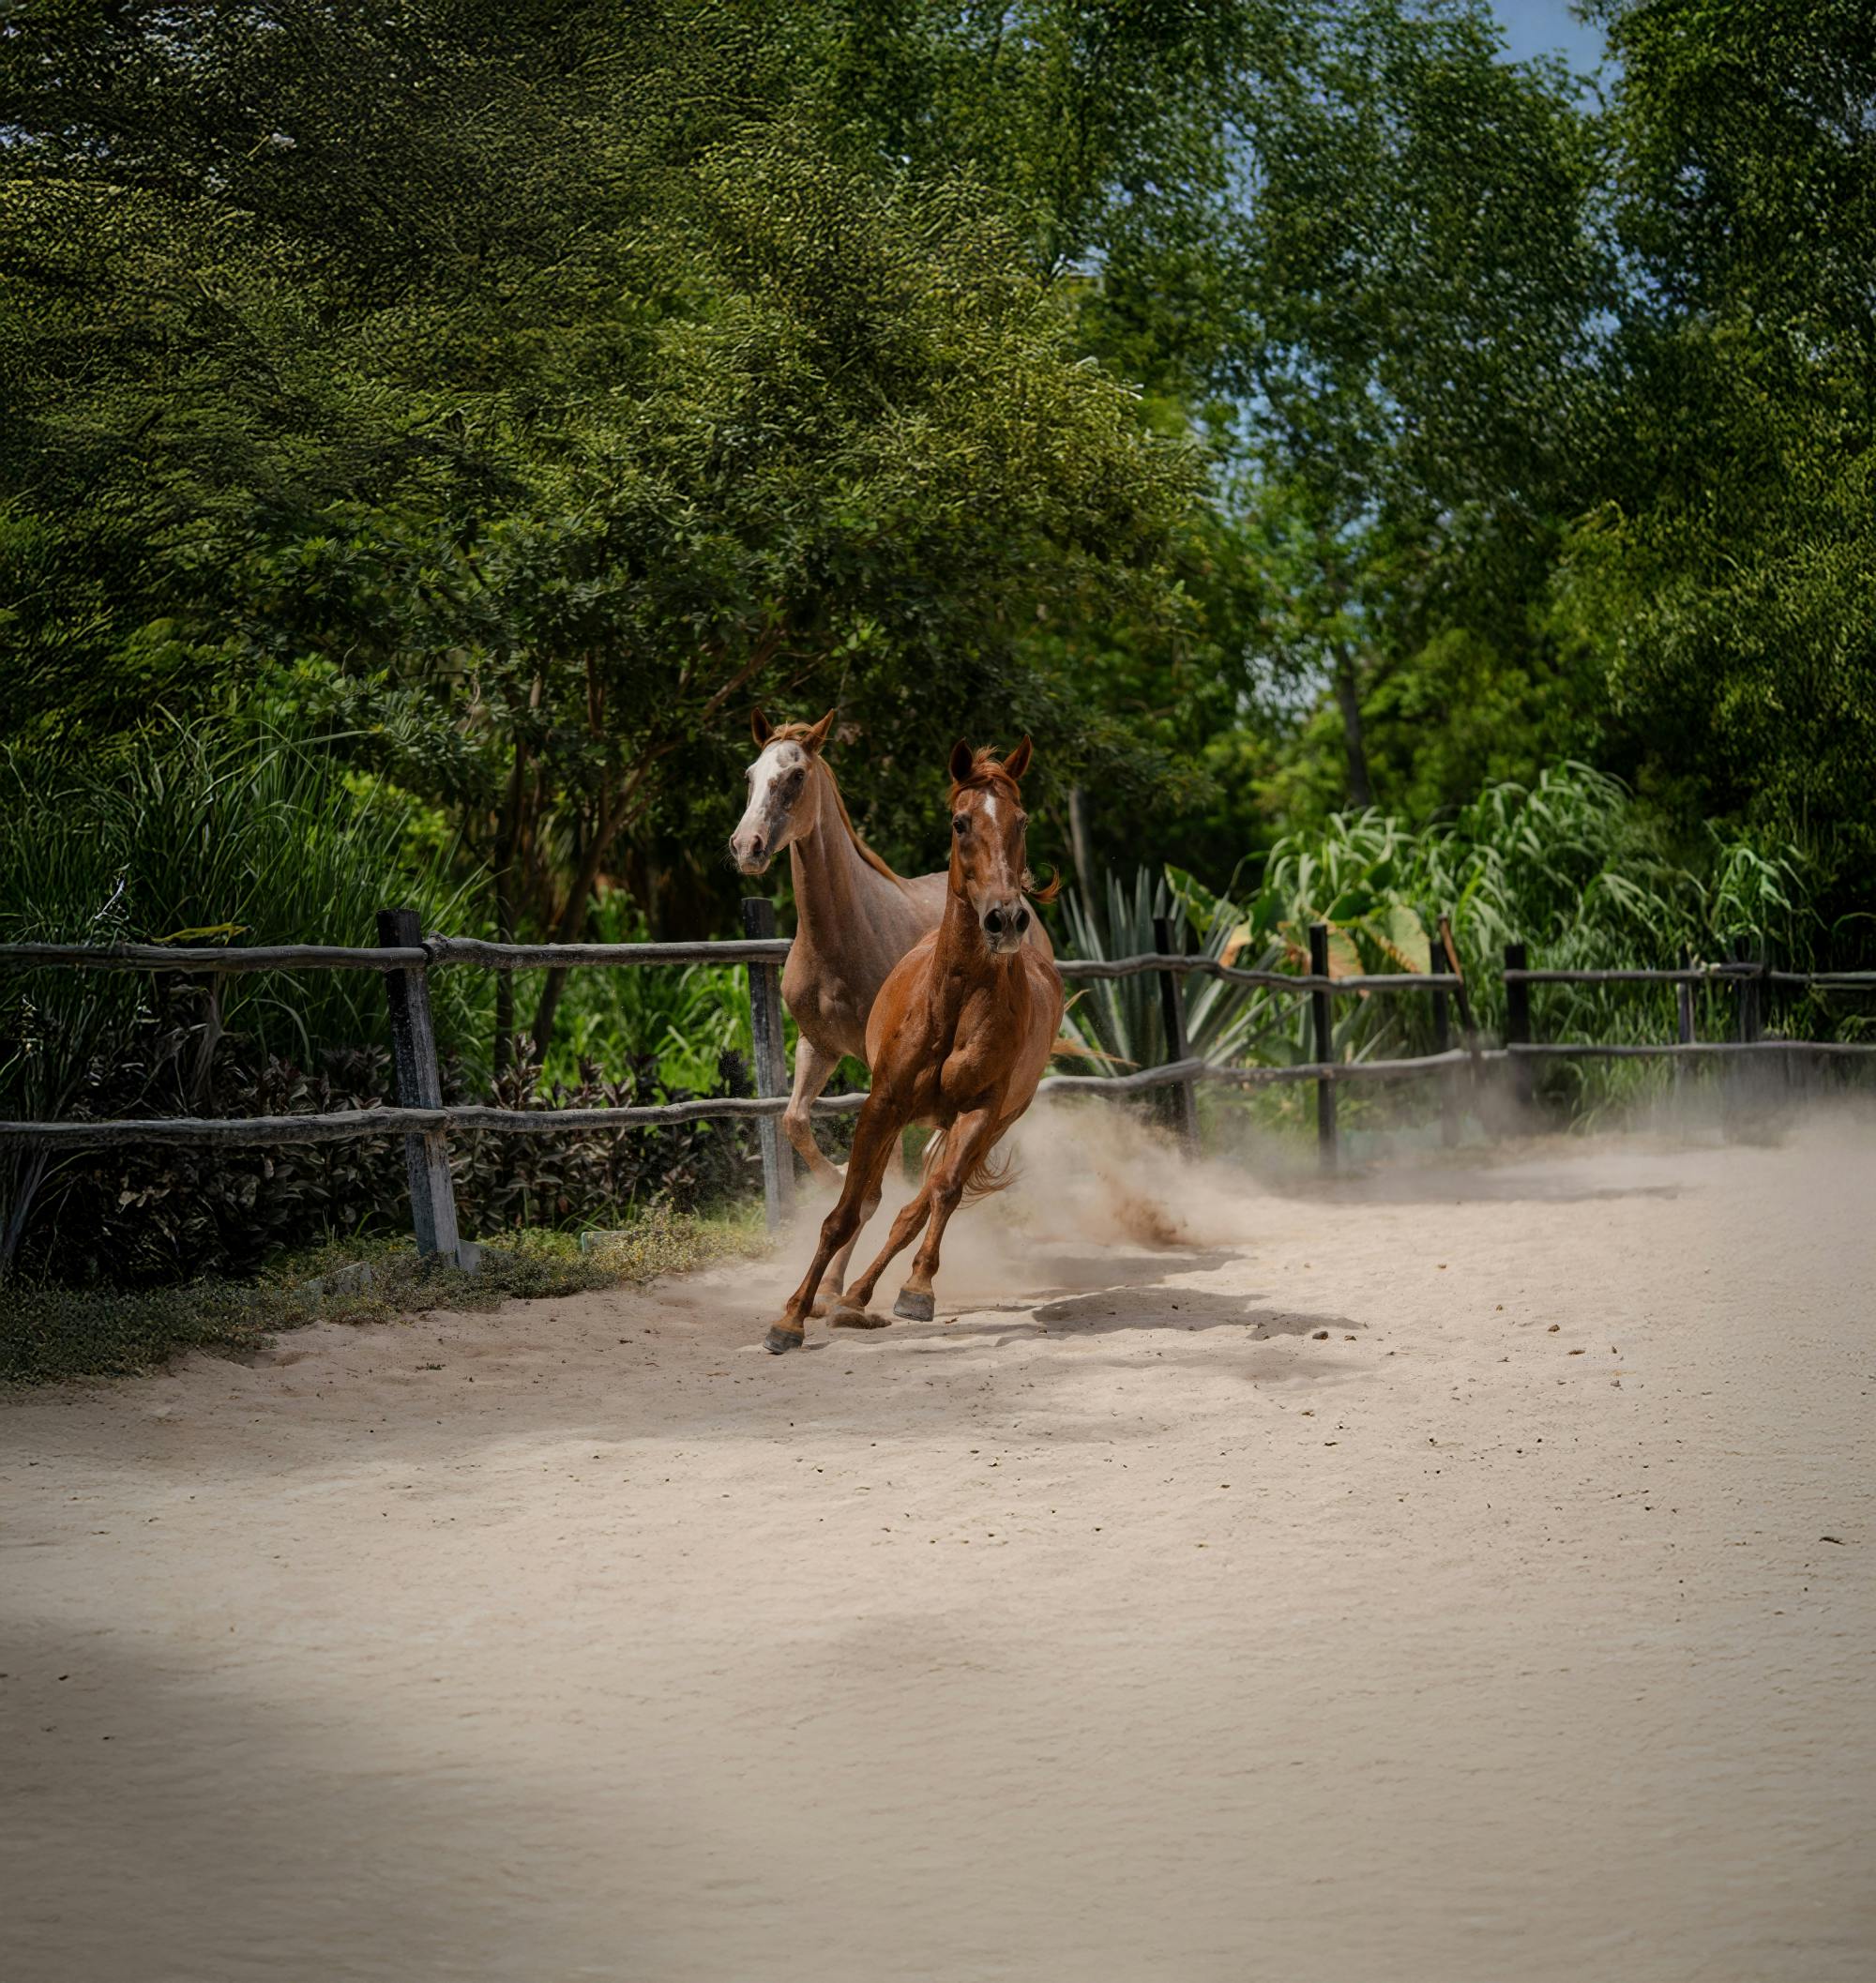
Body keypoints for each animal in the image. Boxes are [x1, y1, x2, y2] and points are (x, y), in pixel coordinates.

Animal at [763, 737, 1064, 1354]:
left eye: (1022, 820)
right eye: (959, 822)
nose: (1005, 919)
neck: (951, 1003)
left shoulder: (981, 1111)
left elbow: (939, 1193)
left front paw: (917, 1290)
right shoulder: (884, 1103)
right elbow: (844, 1211)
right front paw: (792, 1317)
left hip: (992, 1122)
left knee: (919, 1202)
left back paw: (866, 1295)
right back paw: (850, 1298)